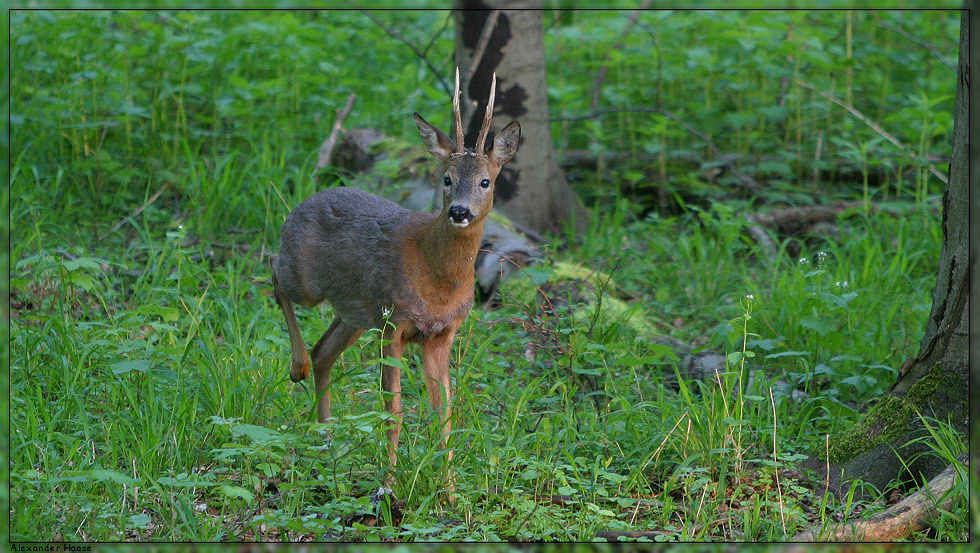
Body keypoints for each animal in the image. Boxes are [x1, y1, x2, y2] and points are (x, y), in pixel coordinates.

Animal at [268, 67, 520, 476]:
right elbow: (393, 412)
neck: (437, 280)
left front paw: (447, 486)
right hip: (310, 283)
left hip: (355, 312)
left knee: (324, 352)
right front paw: (389, 479)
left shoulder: (442, 335)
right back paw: (297, 369)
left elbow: (444, 416)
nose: (459, 211)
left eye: (485, 181)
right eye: (447, 178)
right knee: (275, 271)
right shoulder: (393, 323)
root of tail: (304, 201)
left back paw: (326, 440)